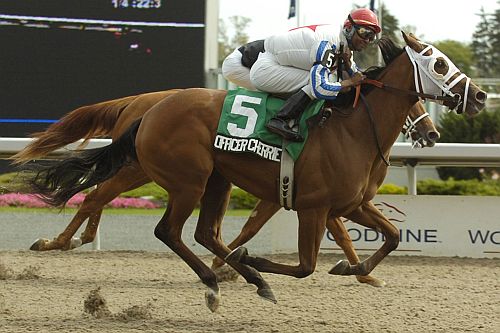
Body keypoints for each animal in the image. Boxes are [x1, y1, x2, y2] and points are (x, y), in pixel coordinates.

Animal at [22, 32, 484, 310]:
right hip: (186, 180)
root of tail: (149, 109)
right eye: (439, 65)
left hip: (215, 180)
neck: (354, 128)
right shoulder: (313, 207)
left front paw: (357, 271)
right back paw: (215, 276)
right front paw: (255, 261)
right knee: (161, 227)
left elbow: (390, 237)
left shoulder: (351, 204)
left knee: (202, 231)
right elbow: (305, 263)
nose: (479, 96)